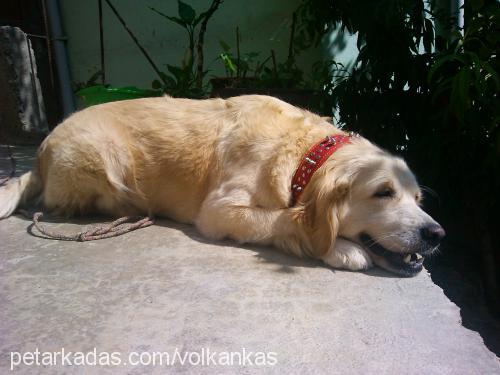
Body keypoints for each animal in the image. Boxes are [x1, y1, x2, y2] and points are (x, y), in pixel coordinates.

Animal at [0, 94, 446, 276]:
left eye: (418, 198)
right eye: (383, 193)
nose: (436, 233)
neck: (305, 156)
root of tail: (40, 151)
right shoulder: (218, 210)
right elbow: (284, 218)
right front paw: (340, 247)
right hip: (105, 155)